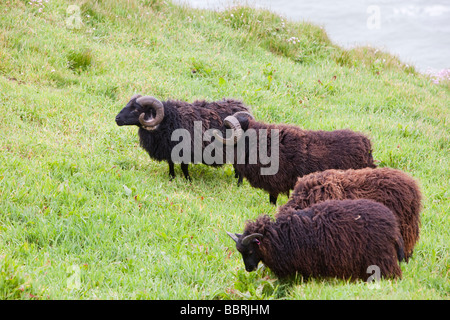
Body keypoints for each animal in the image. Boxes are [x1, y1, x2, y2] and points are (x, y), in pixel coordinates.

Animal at [114, 94, 251, 180]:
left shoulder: (186, 151)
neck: (167, 121)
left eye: (136, 110)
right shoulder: (168, 149)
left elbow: (184, 167)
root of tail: (243, 107)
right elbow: (170, 164)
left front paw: (188, 179)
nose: (117, 119)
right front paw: (171, 177)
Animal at [227, 199, 406, 282]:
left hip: (382, 259)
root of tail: (393, 226)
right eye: (240, 253)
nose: (249, 269)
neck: (278, 237)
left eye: (251, 251)